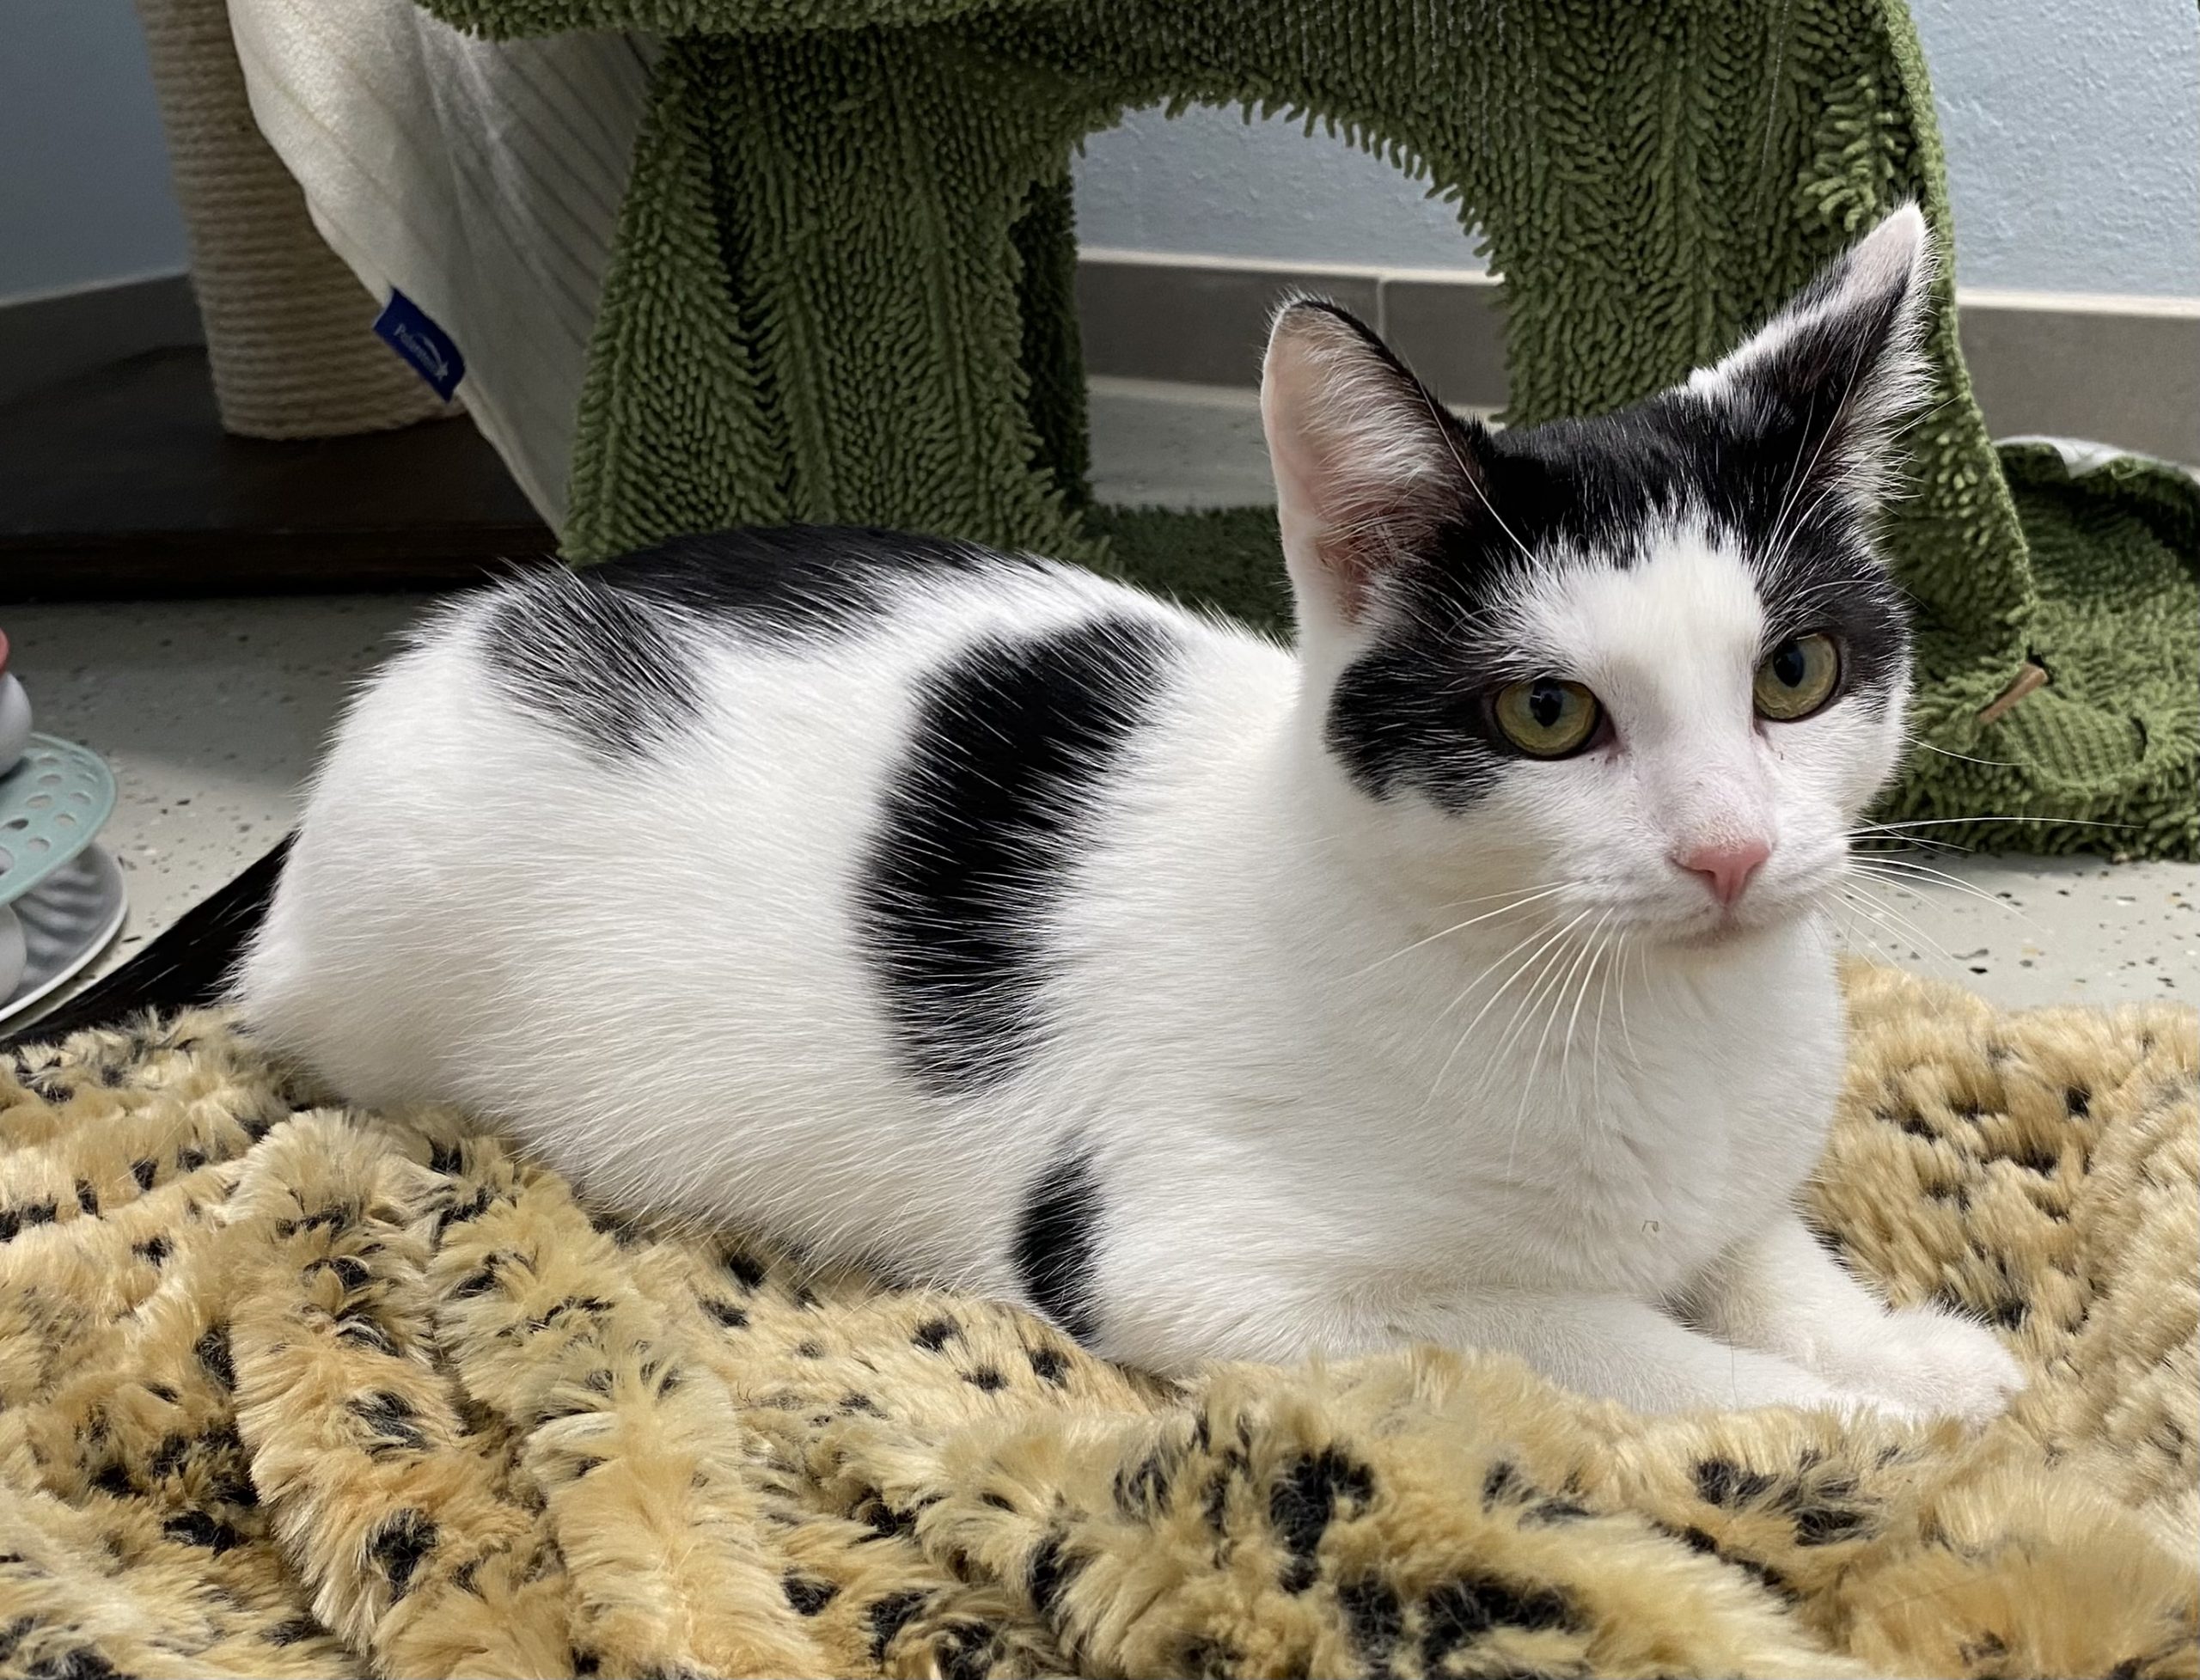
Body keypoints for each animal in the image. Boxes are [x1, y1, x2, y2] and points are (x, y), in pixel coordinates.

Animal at [238, 202, 2022, 1422]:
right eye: (1547, 716)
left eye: (1793, 673)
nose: (1730, 849)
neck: (1657, 1019)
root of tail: (473, 625)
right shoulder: (1189, 1268)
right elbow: (1605, 1344)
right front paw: (1868, 1425)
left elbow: (1757, 1247)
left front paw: (1905, 1350)